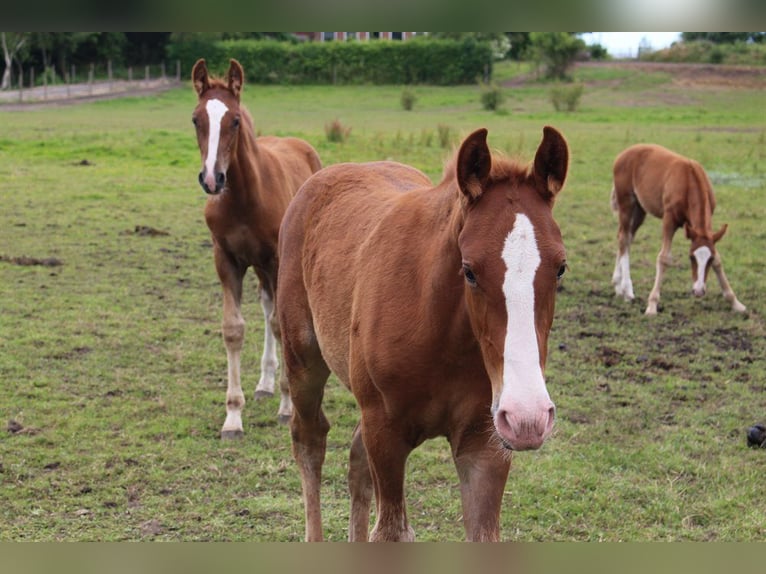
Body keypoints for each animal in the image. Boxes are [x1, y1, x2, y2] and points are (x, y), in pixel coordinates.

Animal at [195, 58, 324, 438]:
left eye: (235, 120)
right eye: (196, 119)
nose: (212, 179)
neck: (243, 198)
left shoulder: (277, 259)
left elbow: (283, 326)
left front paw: (287, 406)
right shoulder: (226, 260)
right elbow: (233, 329)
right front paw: (233, 416)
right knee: (267, 306)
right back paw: (265, 383)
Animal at [278, 127, 568, 544]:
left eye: (560, 268)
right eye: (469, 270)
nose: (528, 417)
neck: (442, 338)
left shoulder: (485, 442)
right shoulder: (385, 432)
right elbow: (392, 531)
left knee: (355, 459)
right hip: (303, 359)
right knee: (310, 439)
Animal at [612, 143, 744, 316]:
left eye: (708, 260)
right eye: (691, 257)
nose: (699, 291)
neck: (689, 181)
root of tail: (623, 153)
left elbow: (718, 258)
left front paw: (735, 302)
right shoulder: (669, 220)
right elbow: (664, 258)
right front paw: (652, 305)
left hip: (640, 209)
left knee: (626, 237)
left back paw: (618, 285)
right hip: (626, 203)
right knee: (623, 238)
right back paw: (627, 291)